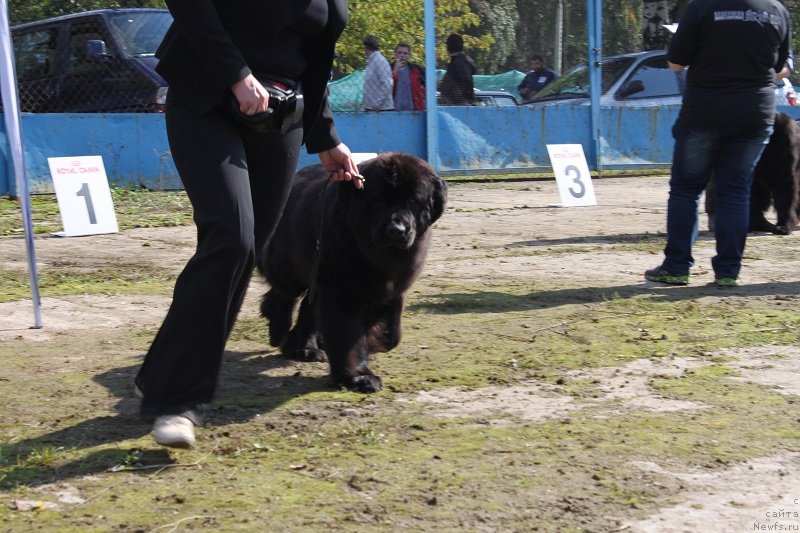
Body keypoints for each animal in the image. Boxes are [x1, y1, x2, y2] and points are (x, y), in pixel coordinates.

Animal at [258, 152, 446, 392]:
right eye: (379, 200)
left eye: (413, 201)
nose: (396, 230)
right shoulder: (340, 290)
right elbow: (347, 336)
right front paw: (359, 377)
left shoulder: (393, 288)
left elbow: (391, 335)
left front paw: (371, 344)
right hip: (290, 262)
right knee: (283, 294)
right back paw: (278, 329)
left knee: (307, 307)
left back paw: (304, 348)